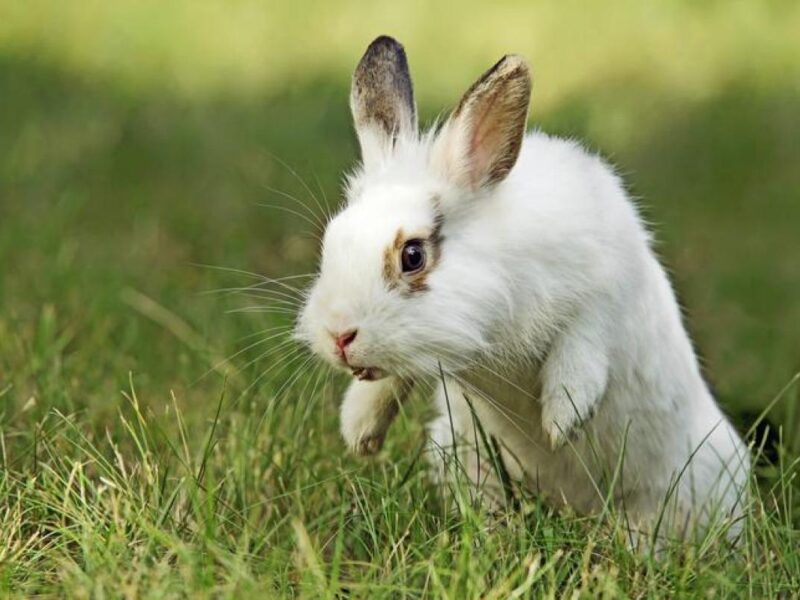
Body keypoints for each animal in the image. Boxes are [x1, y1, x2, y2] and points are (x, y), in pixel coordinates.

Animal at [295, 35, 750, 542]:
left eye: (412, 255)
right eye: (332, 240)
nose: (338, 336)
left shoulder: (602, 289)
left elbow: (582, 347)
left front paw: (561, 421)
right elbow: (388, 382)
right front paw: (359, 431)